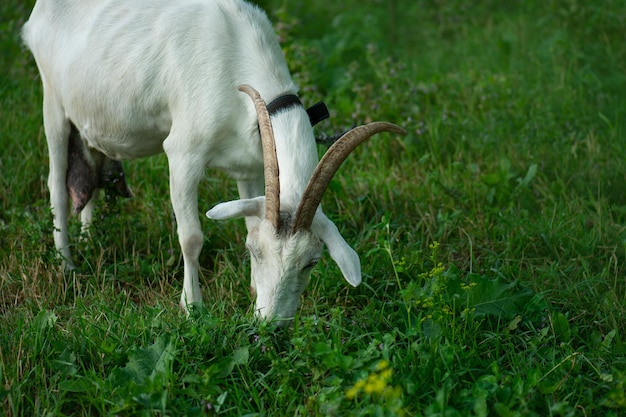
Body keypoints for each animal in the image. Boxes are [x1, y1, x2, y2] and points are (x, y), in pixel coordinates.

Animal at [22, 0, 404, 322]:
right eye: (256, 252)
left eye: (311, 263)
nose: (270, 326)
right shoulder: (183, 154)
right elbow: (191, 237)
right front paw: (192, 307)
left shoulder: (250, 166)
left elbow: (248, 218)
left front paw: (251, 291)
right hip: (52, 101)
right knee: (56, 186)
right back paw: (67, 265)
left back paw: (89, 241)